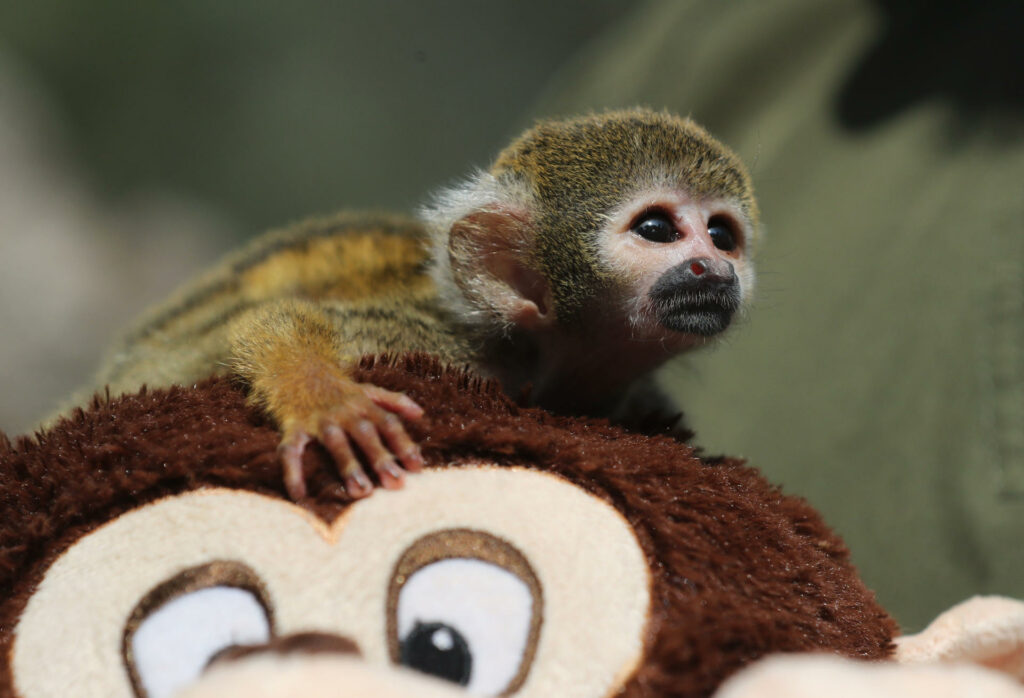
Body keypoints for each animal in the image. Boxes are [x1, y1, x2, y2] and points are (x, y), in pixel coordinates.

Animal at [69, 108, 760, 500]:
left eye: (722, 234)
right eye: (658, 230)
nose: (714, 267)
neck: (541, 358)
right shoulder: (435, 347)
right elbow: (272, 322)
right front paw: (325, 401)